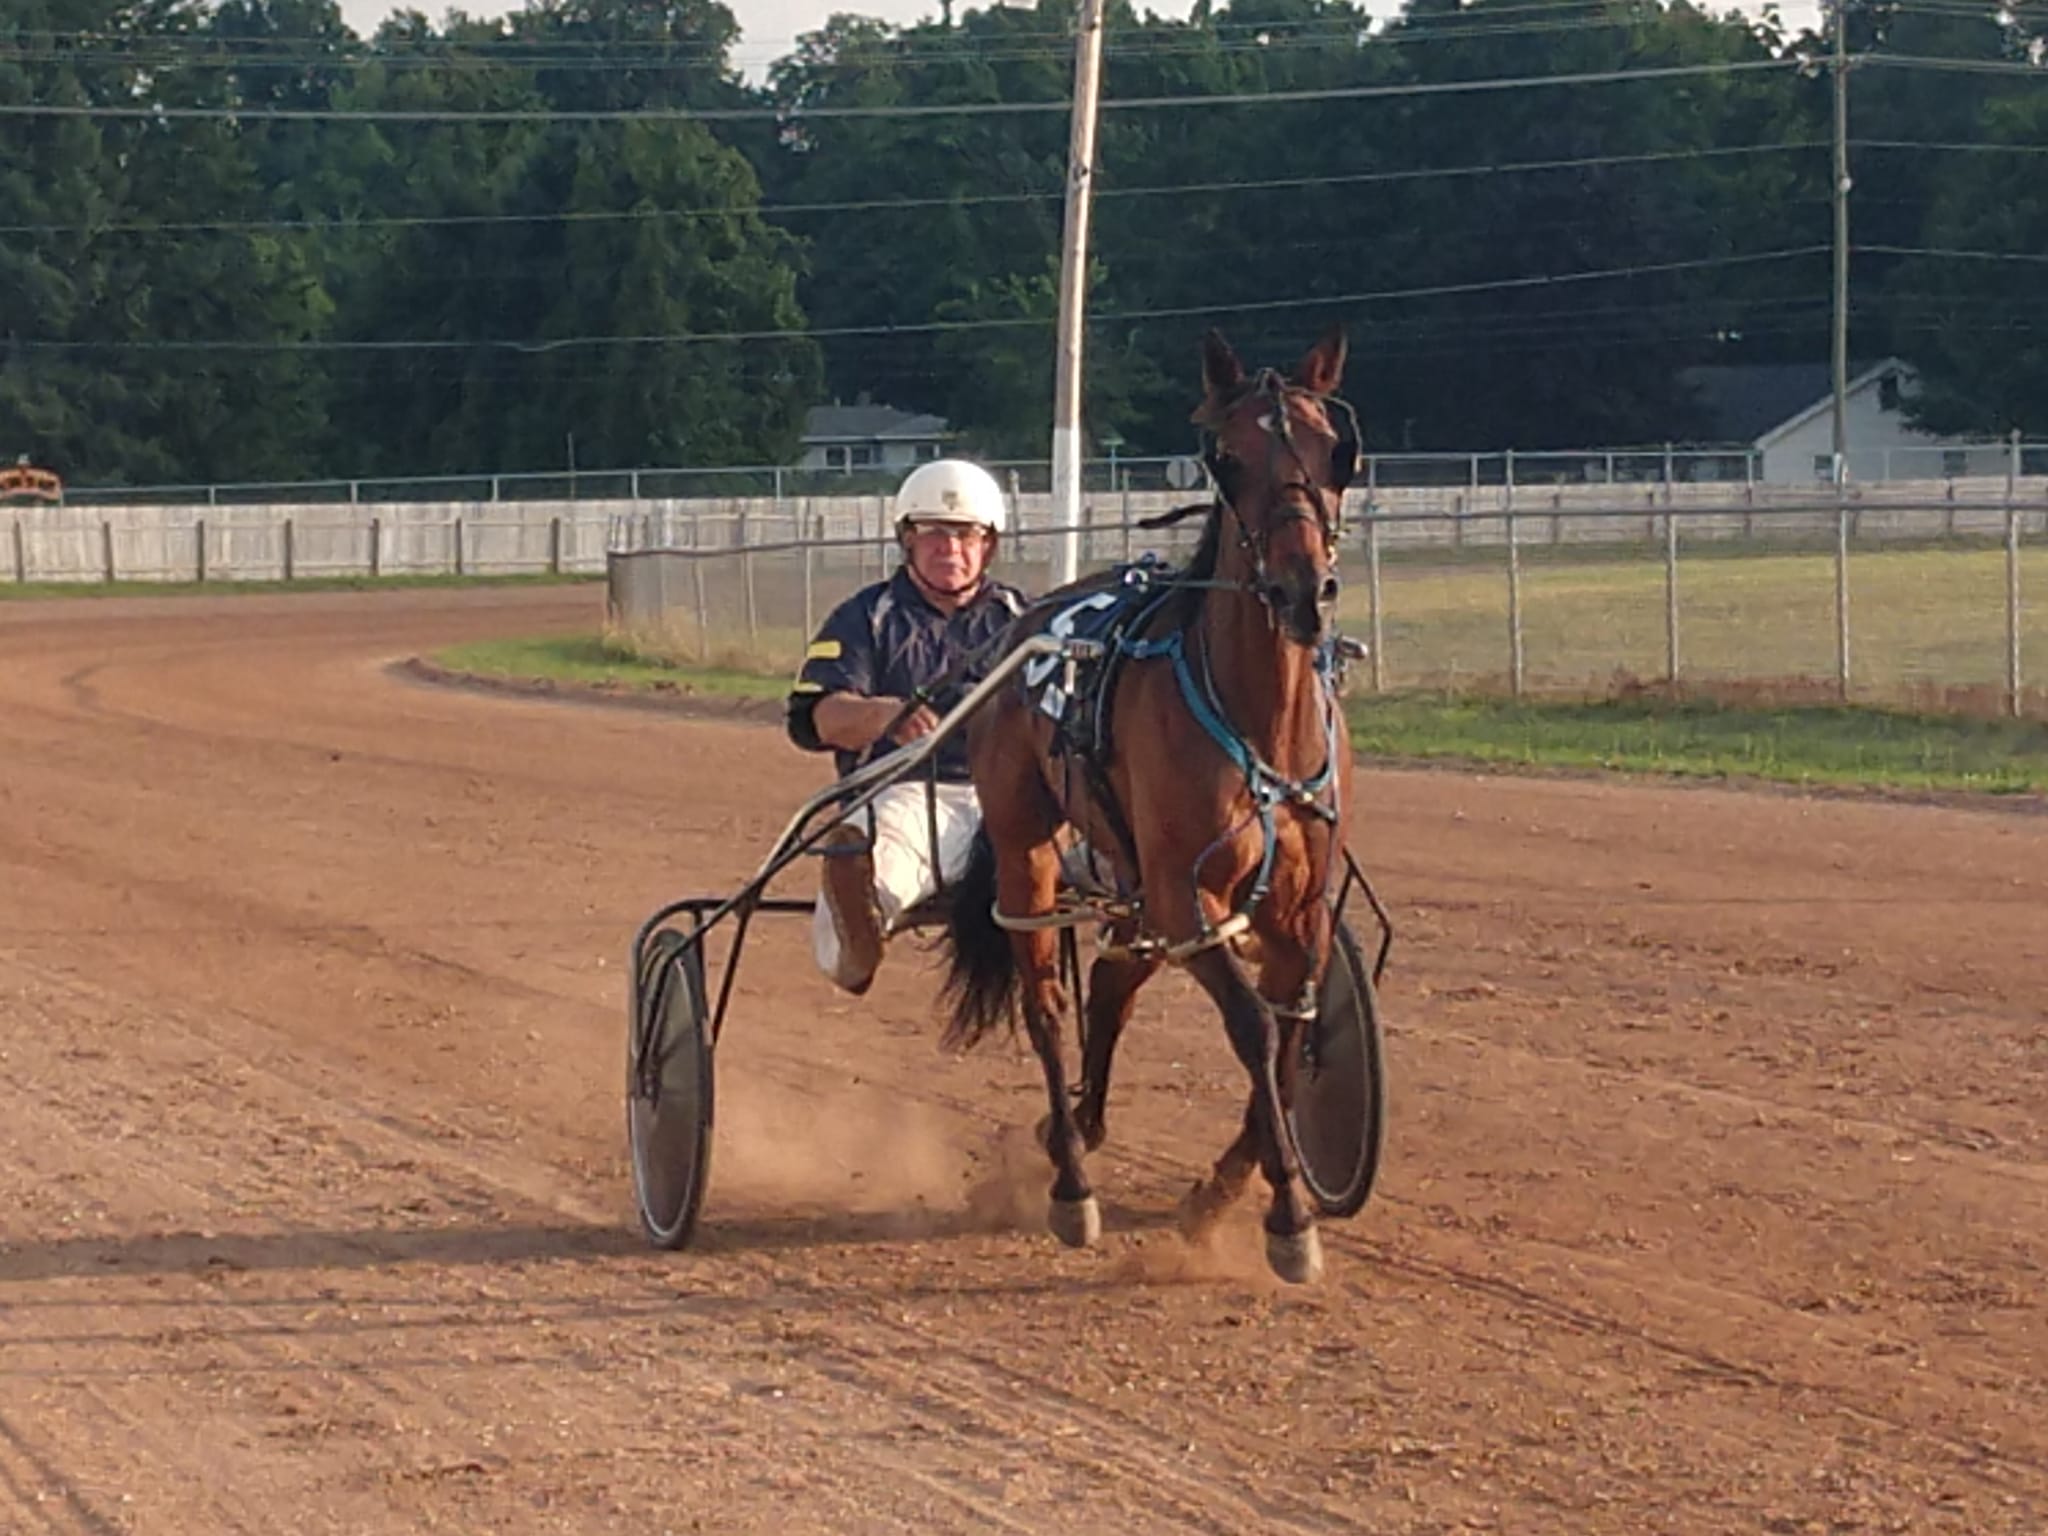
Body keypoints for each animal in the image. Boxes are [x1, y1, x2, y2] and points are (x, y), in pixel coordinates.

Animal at [937, 327, 1359, 1286]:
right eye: (1227, 458)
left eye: (1335, 451)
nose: (1302, 590)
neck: (1260, 722)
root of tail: (1031, 621)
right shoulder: (1184, 895)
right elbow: (1252, 1028)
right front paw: (1288, 1215)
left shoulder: (1298, 910)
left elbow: (1291, 1036)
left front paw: (1224, 1192)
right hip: (1030, 848)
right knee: (1048, 1000)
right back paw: (1071, 1181)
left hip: (1127, 876)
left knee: (1111, 981)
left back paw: (1079, 1126)